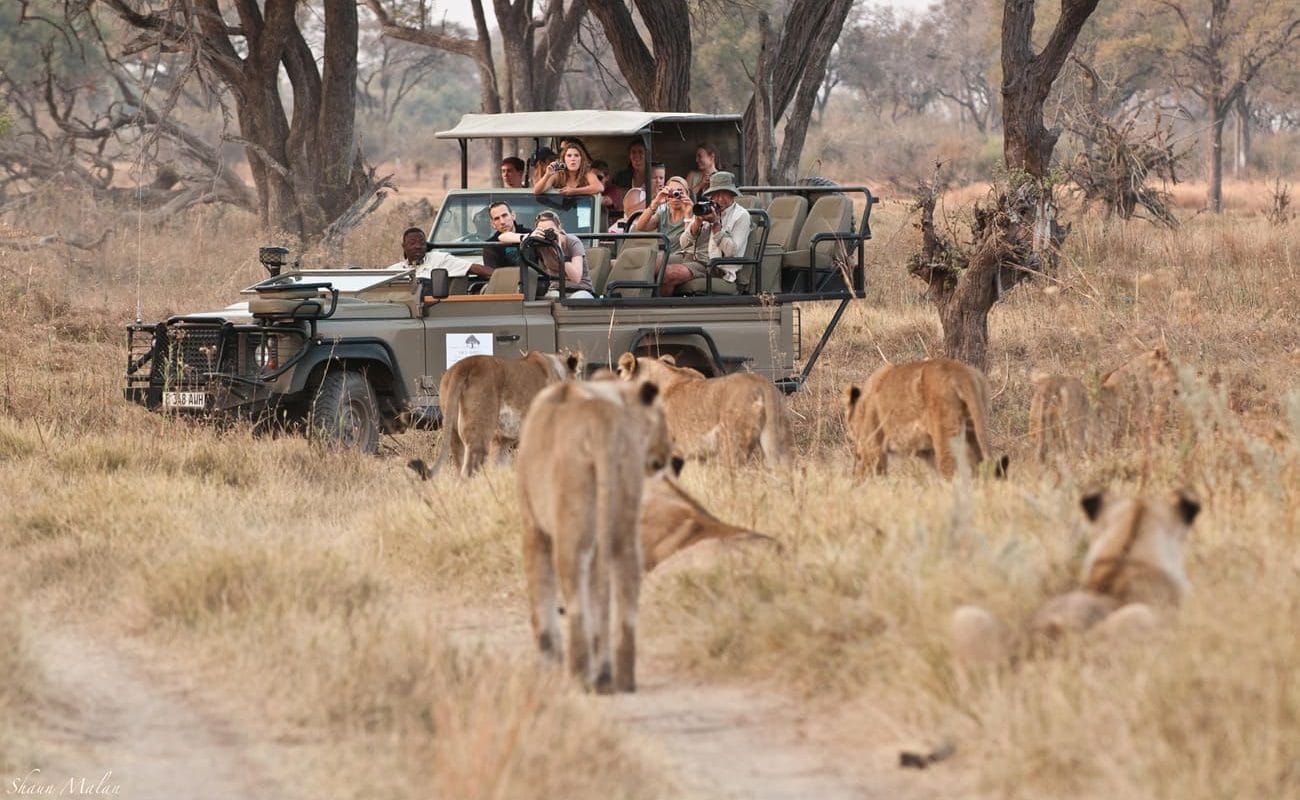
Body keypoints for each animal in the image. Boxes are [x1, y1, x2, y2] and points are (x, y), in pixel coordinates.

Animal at [517, 377, 672, 694]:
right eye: (662, 417)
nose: (669, 455)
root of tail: (602, 424)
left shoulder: (533, 528)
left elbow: (542, 598)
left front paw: (548, 666)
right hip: (624, 524)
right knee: (626, 590)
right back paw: (620, 679)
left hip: (570, 526)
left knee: (576, 603)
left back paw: (580, 676)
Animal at [615, 353, 792, 466]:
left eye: (619, 372)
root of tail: (762, 385)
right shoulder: (696, 454)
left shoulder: (675, 450)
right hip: (778, 445)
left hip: (731, 445)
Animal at [843, 358, 1007, 479]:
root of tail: (959, 372)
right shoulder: (928, 452)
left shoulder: (872, 448)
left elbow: (867, 478)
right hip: (975, 430)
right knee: (978, 469)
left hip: (946, 437)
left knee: (953, 472)